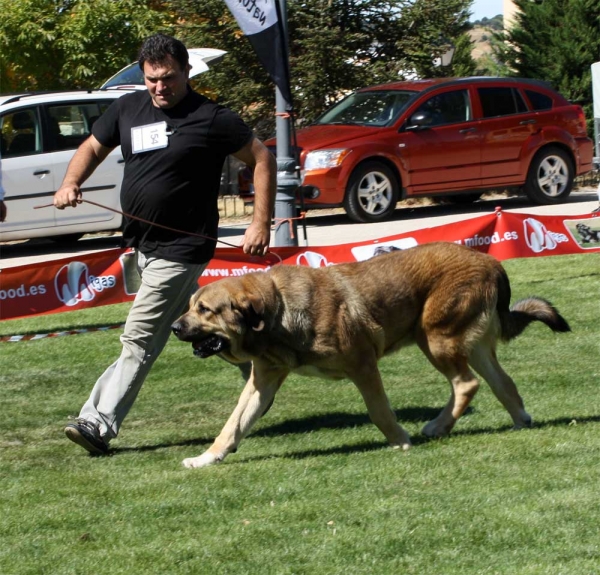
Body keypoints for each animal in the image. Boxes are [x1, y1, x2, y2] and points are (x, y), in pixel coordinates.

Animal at [171, 241, 568, 470]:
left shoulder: (363, 365)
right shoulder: (262, 380)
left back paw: (437, 426)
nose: (175, 327)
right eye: (190, 306)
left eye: (205, 310)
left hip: (436, 338)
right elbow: (233, 425)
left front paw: (400, 441)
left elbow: (379, 411)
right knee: (503, 383)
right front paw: (207, 458)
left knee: (466, 385)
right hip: (471, 344)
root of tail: (490, 261)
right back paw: (519, 421)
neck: (276, 312)